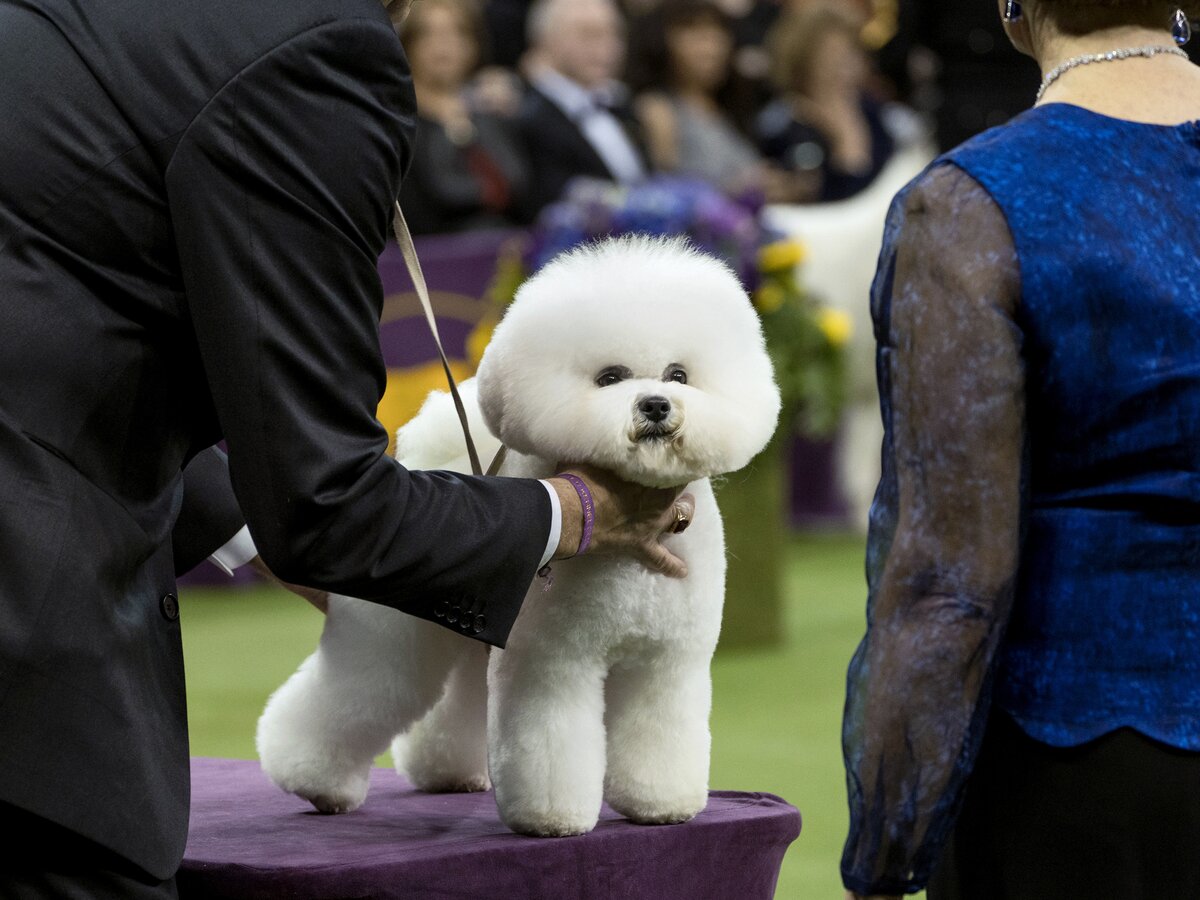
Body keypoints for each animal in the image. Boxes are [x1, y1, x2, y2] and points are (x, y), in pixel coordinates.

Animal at [255, 237, 777, 840]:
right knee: (355, 693)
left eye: (678, 374)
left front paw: (661, 804)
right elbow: (550, 743)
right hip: (395, 636)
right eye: (609, 377)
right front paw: (551, 819)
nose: (654, 405)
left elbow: (659, 736)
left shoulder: (666, 662)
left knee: (453, 701)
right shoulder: (549, 663)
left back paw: (445, 772)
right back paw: (312, 779)